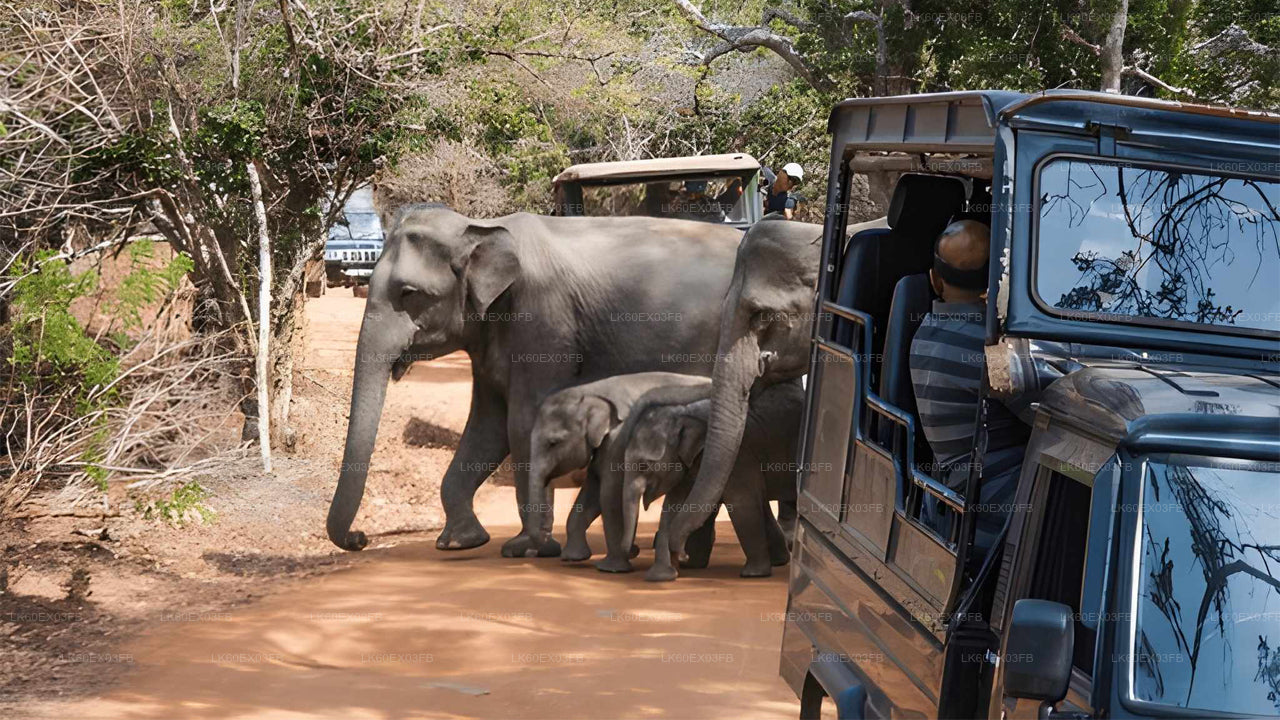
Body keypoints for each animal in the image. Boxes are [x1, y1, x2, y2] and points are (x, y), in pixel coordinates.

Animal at [524, 371, 708, 564]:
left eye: (553, 443)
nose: (538, 548)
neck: (590, 392)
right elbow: (592, 490)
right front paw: (573, 557)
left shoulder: (619, 438)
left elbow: (609, 492)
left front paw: (611, 566)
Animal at [611, 381, 803, 580]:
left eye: (645, 464)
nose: (635, 549)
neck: (683, 413)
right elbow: (674, 504)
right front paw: (665, 574)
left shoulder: (738, 458)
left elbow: (742, 503)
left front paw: (753, 574)